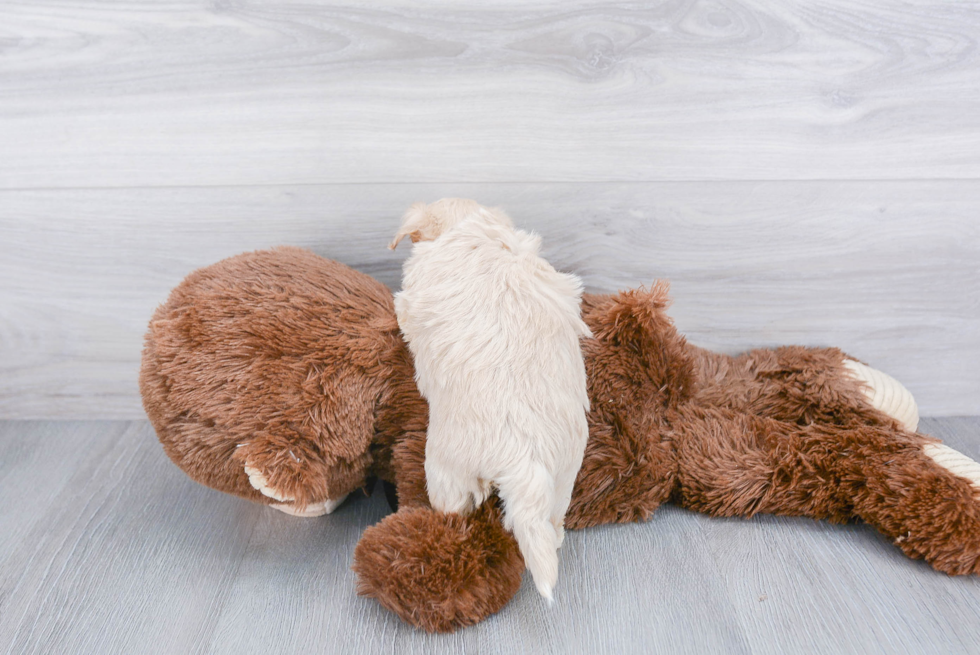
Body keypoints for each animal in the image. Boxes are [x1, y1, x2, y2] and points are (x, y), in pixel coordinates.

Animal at [390, 197, 588, 604]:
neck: (469, 225)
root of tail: (525, 457)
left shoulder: (414, 294)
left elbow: (403, 312)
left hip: (446, 471)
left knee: (454, 511)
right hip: (562, 478)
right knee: (553, 522)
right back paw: (556, 536)